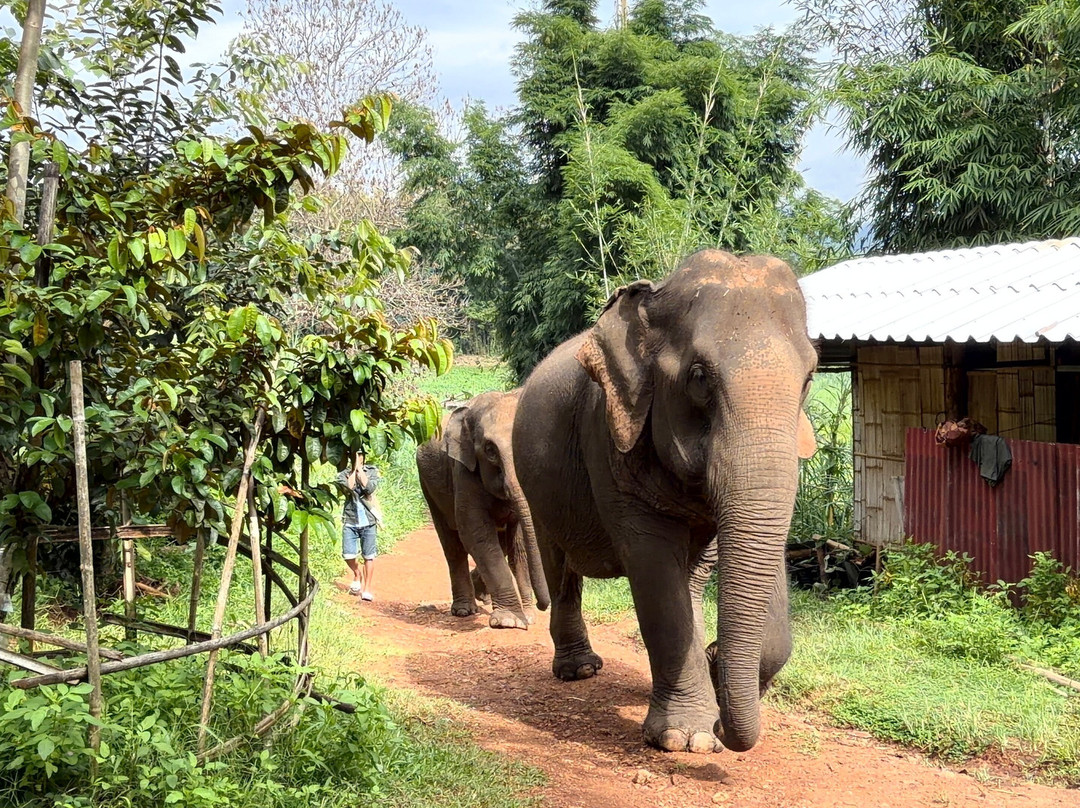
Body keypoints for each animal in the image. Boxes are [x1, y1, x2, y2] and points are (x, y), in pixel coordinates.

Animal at [417, 390, 550, 629]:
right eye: (490, 450)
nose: (542, 605)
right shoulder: (463, 470)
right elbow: (475, 531)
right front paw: (509, 621)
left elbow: (519, 541)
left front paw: (527, 618)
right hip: (428, 488)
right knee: (453, 545)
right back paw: (464, 610)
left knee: (504, 543)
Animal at [512, 249, 817, 754]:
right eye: (699, 377)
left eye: (810, 377)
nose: (724, 727)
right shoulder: (606, 437)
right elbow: (653, 568)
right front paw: (686, 739)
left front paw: (713, 672)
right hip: (537, 487)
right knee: (561, 567)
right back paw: (579, 670)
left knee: (690, 580)